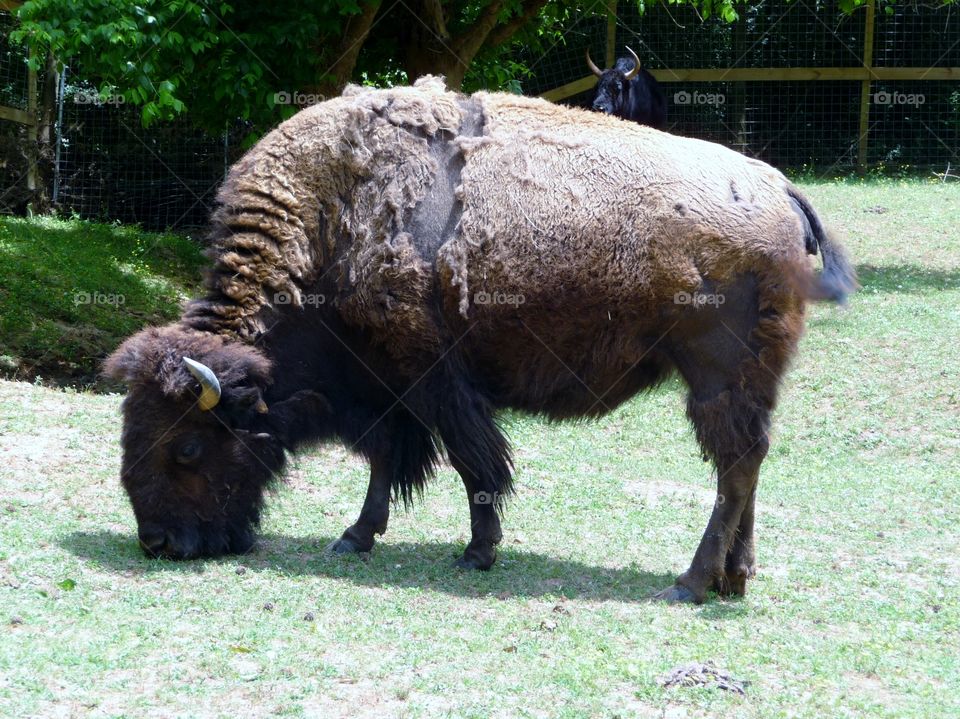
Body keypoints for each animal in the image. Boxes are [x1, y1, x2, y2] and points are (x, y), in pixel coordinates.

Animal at [105, 77, 854, 603]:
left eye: (187, 446)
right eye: (129, 432)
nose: (158, 541)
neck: (329, 222)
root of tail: (777, 186)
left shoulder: (431, 379)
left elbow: (472, 463)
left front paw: (477, 551)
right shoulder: (390, 386)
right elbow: (390, 459)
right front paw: (357, 536)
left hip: (714, 378)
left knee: (734, 465)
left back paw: (691, 583)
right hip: (745, 383)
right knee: (746, 464)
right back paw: (734, 577)